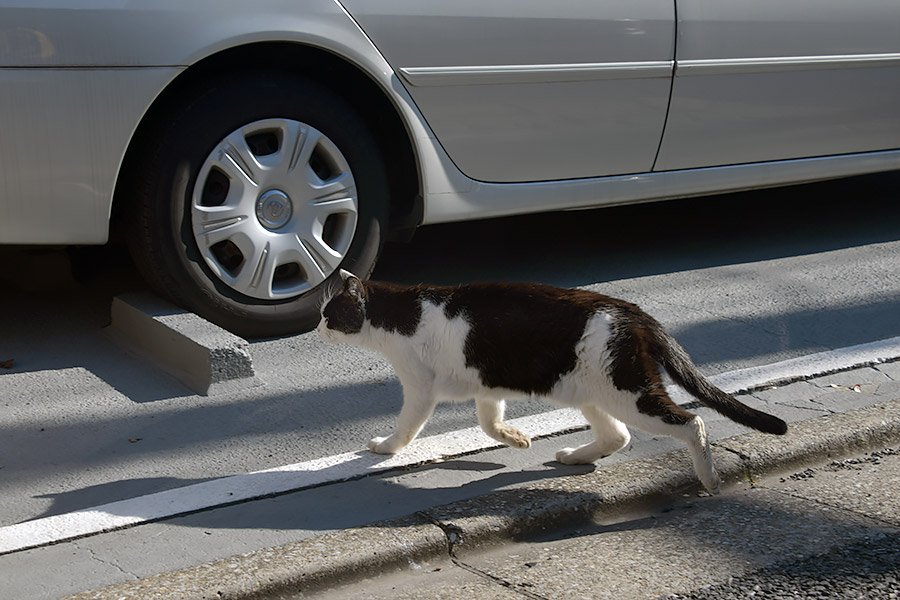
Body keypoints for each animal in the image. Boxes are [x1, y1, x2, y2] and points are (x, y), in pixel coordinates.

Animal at [318, 270, 788, 492]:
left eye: (329, 314)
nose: (316, 328)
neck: (400, 315)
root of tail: (637, 314)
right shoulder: (485, 384)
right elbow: (489, 422)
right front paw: (516, 439)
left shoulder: (419, 387)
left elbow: (406, 427)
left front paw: (384, 448)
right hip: (593, 394)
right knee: (618, 437)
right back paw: (575, 457)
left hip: (627, 392)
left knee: (693, 422)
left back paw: (709, 478)